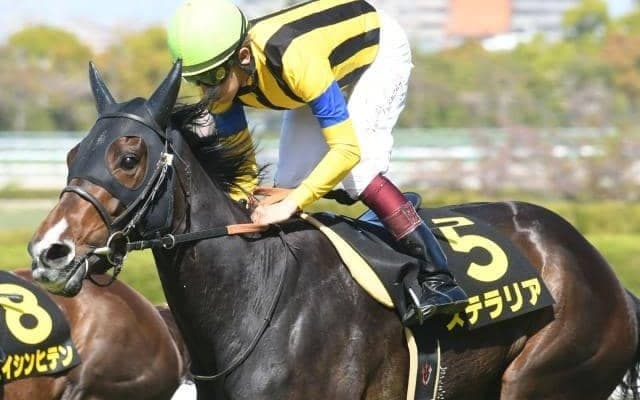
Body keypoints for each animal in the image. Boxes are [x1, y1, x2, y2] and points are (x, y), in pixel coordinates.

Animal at [27, 60, 640, 399]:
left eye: (129, 157)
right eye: (72, 155)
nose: (49, 251)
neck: (257, 297)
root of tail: (603, 271)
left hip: (552, 373)